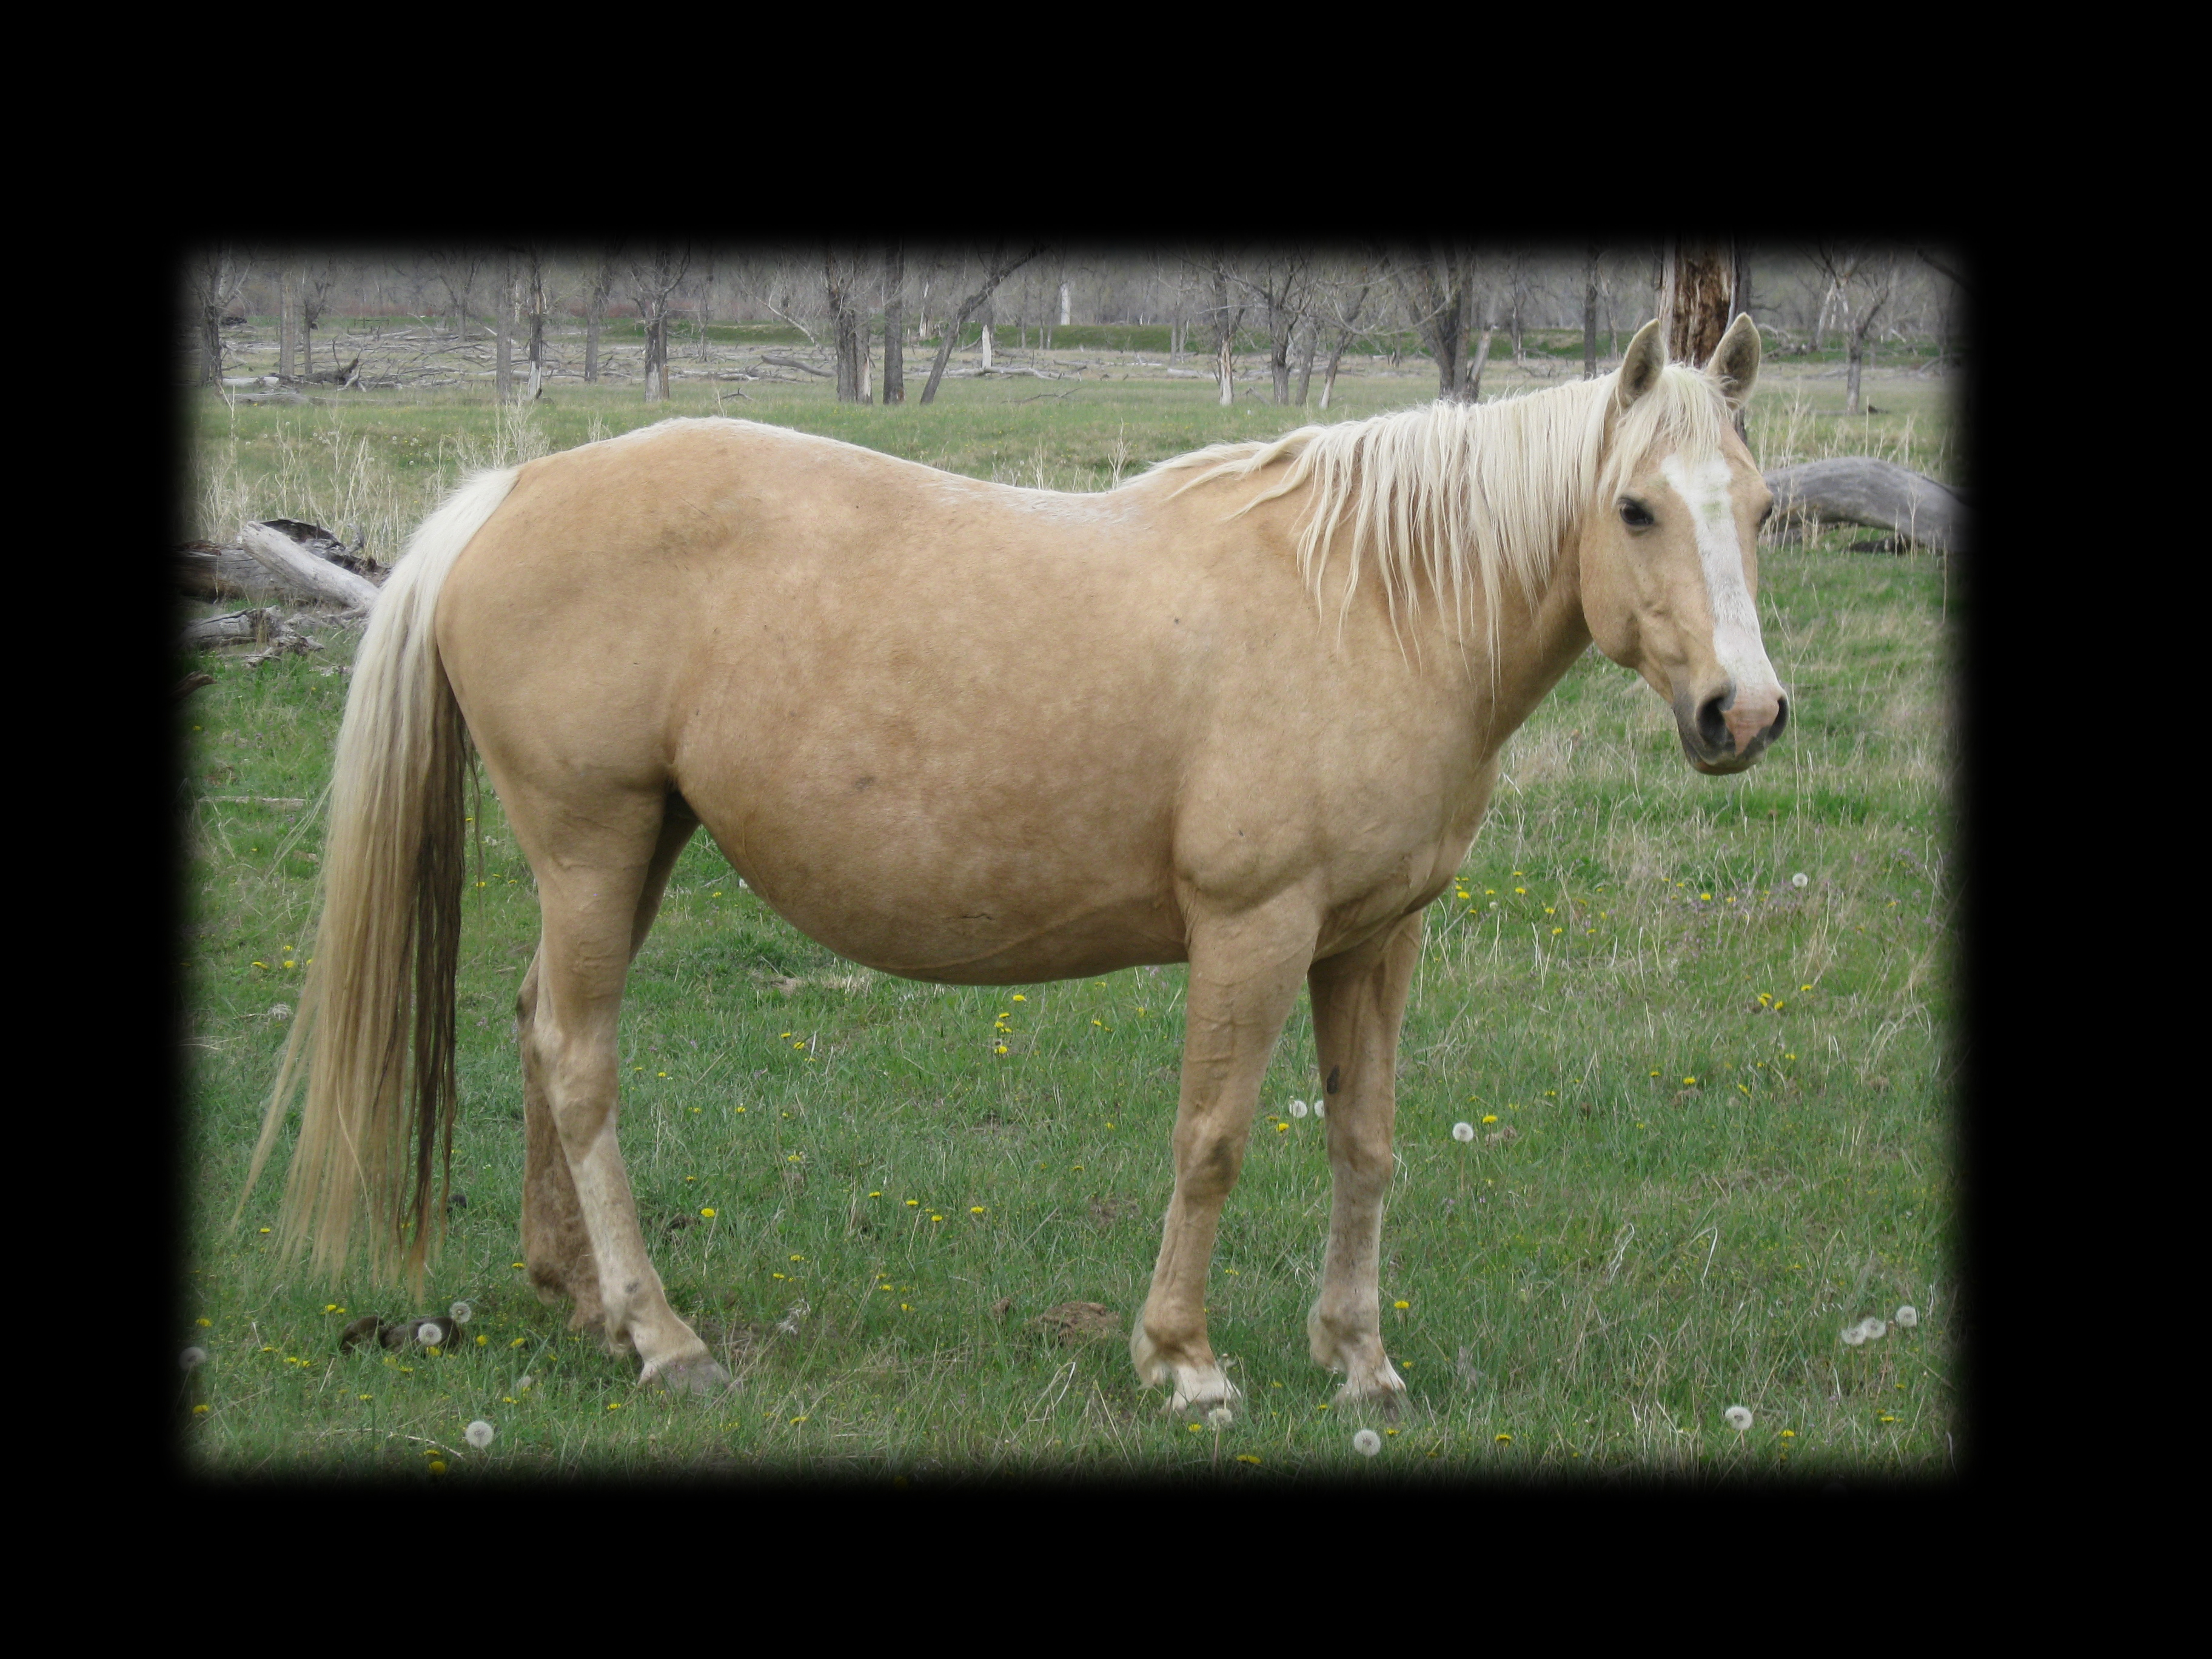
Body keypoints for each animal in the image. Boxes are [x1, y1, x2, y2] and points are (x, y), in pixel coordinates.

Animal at [245, 315, 1785, 1418]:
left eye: (1762, 506)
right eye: (1636, 508)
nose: (1744, 713)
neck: (1370, 604)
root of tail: (510, 491)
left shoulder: (1373, 937)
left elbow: (1366, 1140)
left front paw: (1360, 1361)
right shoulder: (1254, 929)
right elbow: (1214, 1138)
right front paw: (1185, 1360)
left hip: (639, 847)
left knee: (539, 1029)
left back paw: (581, 1296)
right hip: (593, 837)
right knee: (578, 1059)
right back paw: (663, 1335)